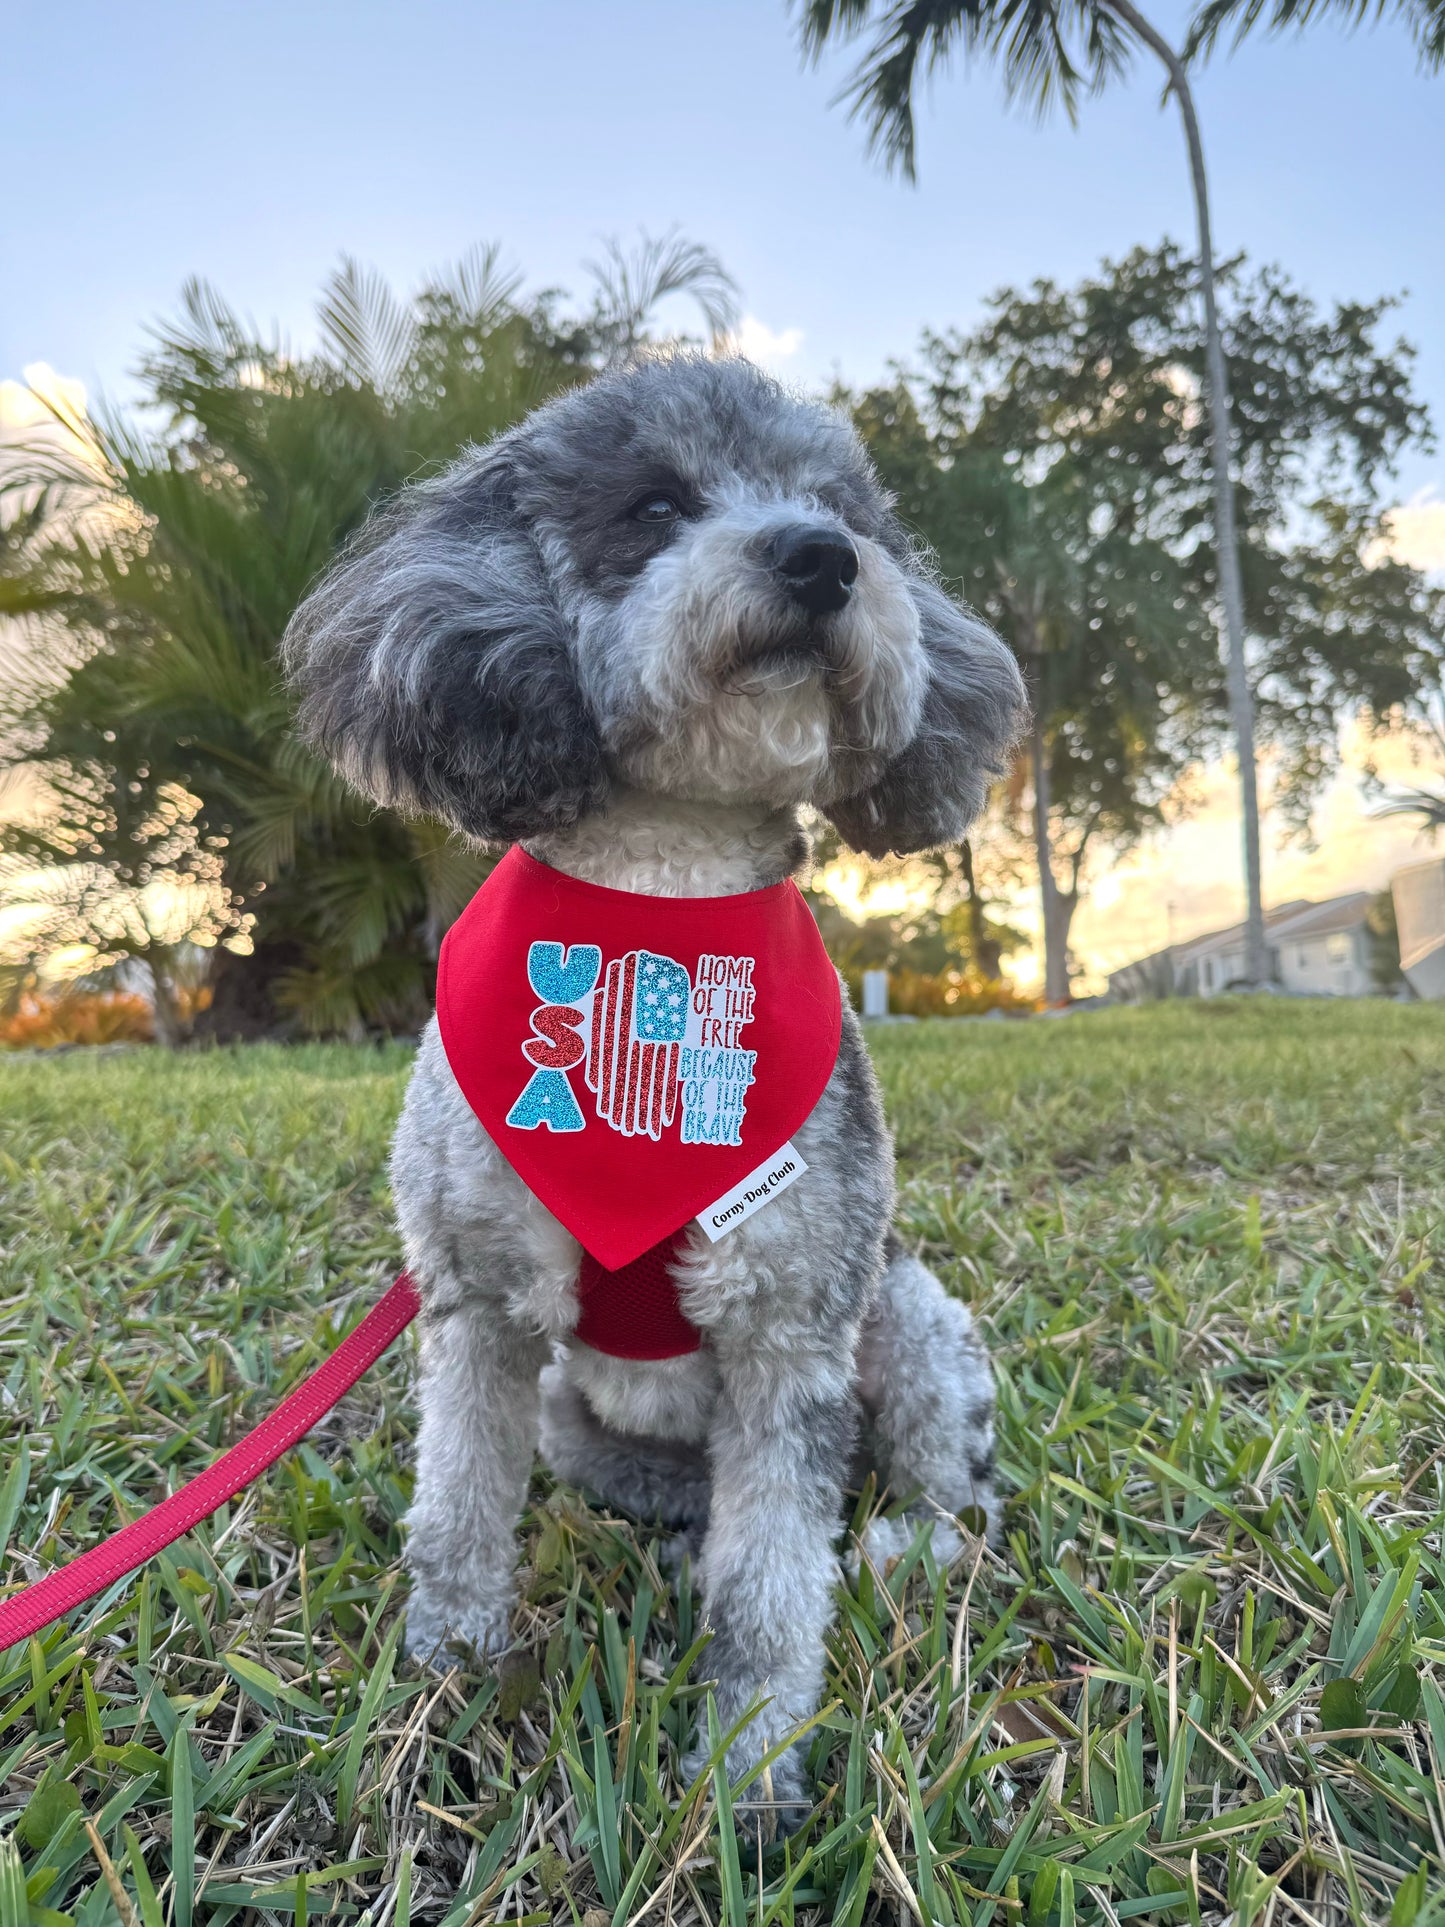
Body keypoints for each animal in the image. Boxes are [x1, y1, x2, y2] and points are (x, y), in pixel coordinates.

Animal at [283, 358, 1032, 1819]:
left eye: (842, 509)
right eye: (654, 505)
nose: (819, 559)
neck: (661, 919)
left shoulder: (789, 1321)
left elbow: (772, 1586)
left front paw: (747, 1772)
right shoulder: (477, 1307)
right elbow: (457, 1509)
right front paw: (446, 1673)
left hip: (909, 1317)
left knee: (937, 1503)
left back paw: (891, 1546)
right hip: (578, 1417)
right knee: (677, 1493)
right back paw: (676, 1533)